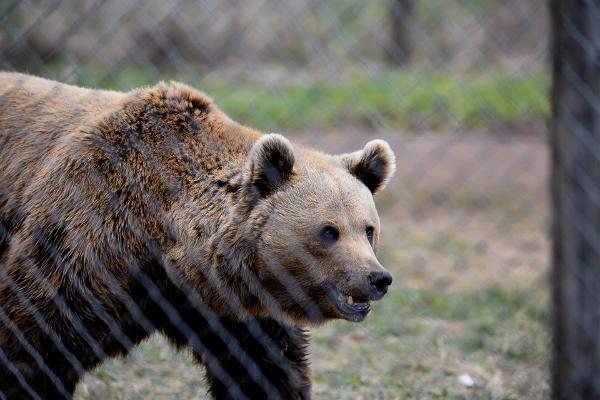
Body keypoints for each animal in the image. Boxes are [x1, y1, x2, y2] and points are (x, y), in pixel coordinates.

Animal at [0, 72, 396, 400]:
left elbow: (267, 368)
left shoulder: (226, 307)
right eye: (329, 231)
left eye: (368, 229)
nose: (377, 278)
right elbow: (33, 341)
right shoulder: (88, 238)